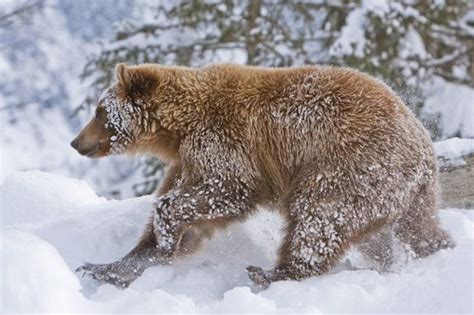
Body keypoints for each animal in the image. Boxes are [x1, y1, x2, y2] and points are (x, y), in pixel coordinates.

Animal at [72, 63, 454, 290]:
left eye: (100, 111)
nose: (77, 142)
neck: (178, 130)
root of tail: (423, 148)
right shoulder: (189, 161)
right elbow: (190, 214)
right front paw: (109, 266)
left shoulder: (226, 145)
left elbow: (223, 192)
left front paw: (166, 239)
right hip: (400, 192)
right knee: (403, 231)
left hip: (349, 167)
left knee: (319, 217)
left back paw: (272, 272)